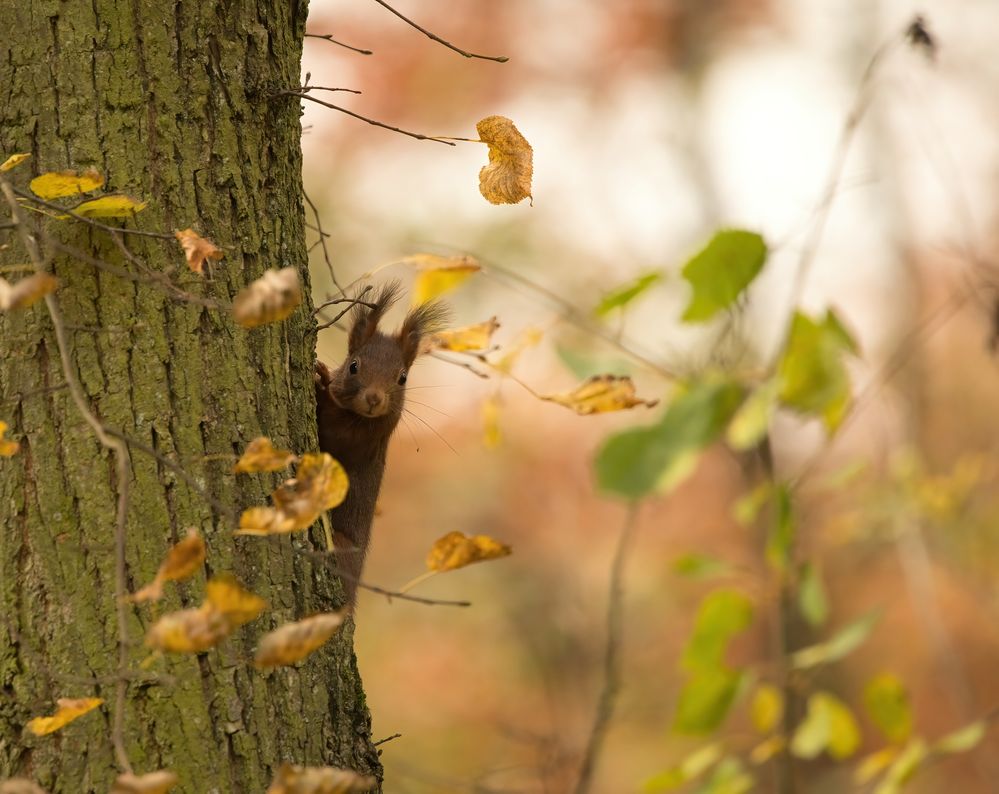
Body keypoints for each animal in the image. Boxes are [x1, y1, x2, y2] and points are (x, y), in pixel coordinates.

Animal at [314, 282, 448, 604]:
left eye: (402, 378)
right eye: (353, 366)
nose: (374, 398)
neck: (358, 417)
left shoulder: (365, 439)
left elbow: (335, 435)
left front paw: (321, 381)